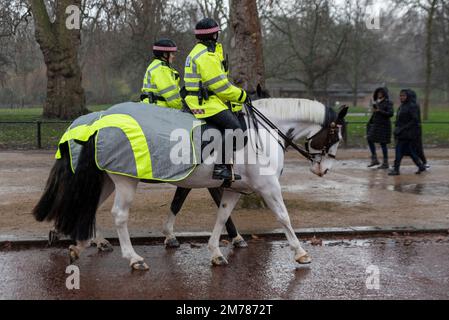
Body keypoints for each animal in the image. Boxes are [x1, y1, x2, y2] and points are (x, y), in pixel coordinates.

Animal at [33, 98, 348, 270]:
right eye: (335, 136)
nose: (324, 169)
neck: (264, 131)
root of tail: (98, 121)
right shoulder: (268, 188)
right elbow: (283, 217)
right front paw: (301, 253)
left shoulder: (233, 189)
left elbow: (221, 216)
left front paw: (217, 251)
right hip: (125, 181)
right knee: (119, 216)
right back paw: (133, 258)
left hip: (108, 179)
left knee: (89, 207)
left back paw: (80, 244)